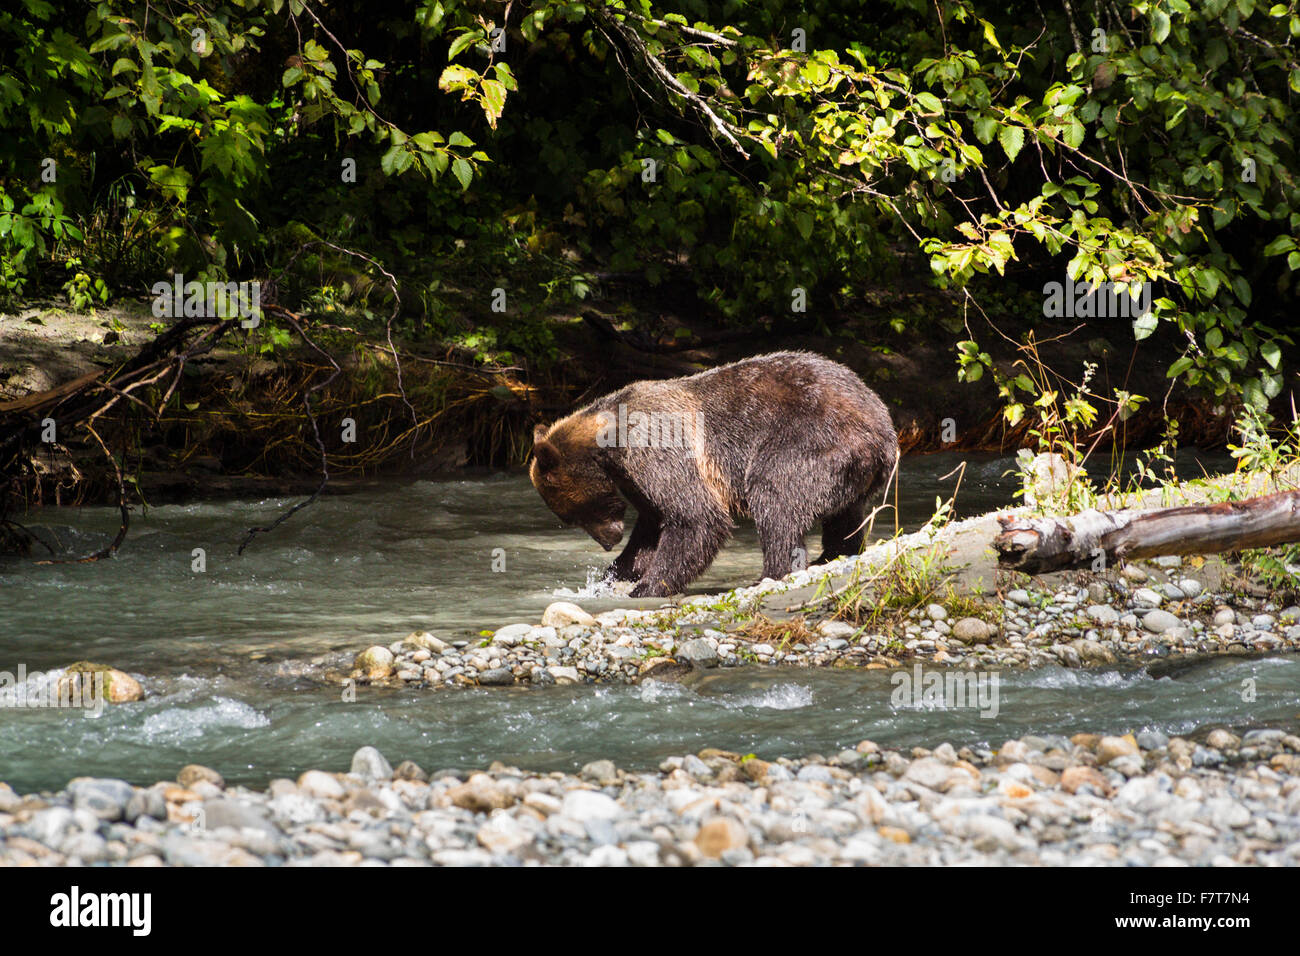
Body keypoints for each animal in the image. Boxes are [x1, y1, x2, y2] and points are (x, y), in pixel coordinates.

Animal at [527, 351, 894, 595]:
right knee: (845, 513)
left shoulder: (656, 446)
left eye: (575, 514)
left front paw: (648, 584)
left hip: (812, 436)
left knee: (775, 495)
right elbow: (652, 525)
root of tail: (884, 425)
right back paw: (832, 554)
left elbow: (696, 518)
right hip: (851, 468)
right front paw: (616, 573)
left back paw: (770, 571)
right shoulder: (634, 478)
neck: (610, 444)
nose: (608, 540)